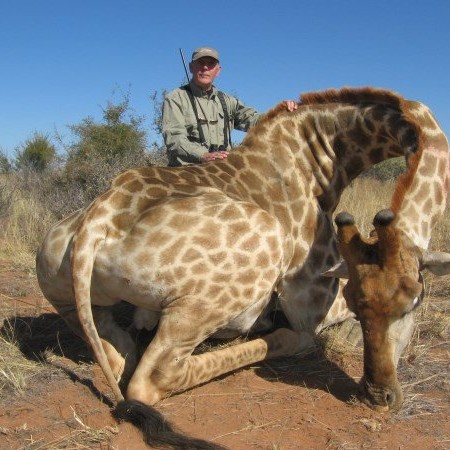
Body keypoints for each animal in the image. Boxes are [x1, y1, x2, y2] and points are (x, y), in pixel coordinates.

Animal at [36, 87, 450, 447]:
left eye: (412, 301)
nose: (379, 396)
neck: (321, 162)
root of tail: (98, 222)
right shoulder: (308, 299)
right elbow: (316, 322)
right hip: (229, 280)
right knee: (151, 378)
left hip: (63, 289)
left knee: (118, 352)